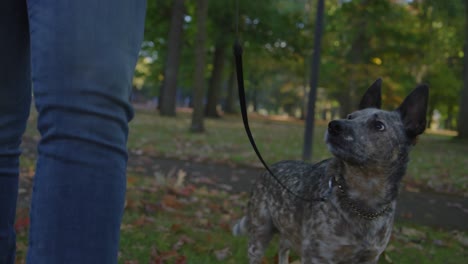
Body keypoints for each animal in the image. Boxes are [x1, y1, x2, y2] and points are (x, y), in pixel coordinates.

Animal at [232, 80, 430, 264]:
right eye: (350, 116)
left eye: (378, 125)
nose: (334, 125)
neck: (364, 200)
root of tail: (268, 169)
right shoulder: (317, 255)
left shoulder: (370, 257)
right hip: (260, 235)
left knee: (282, 247)